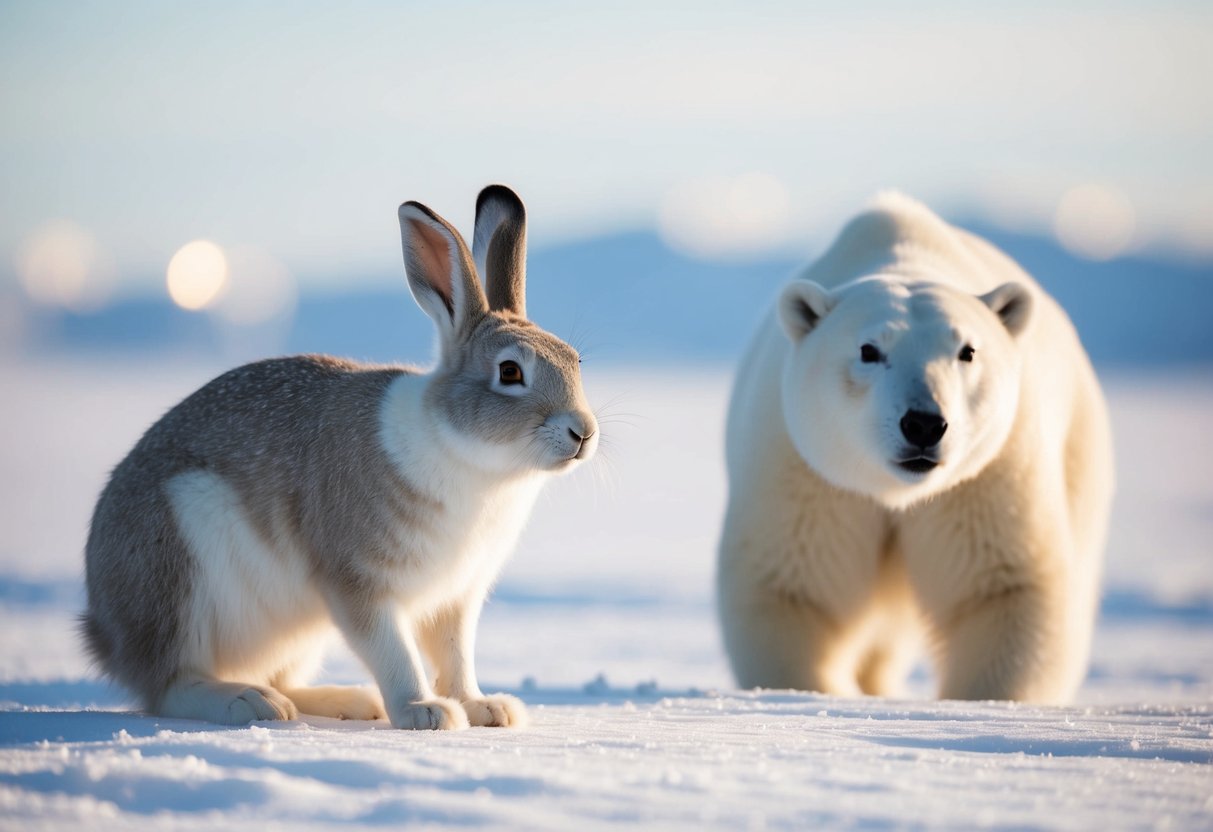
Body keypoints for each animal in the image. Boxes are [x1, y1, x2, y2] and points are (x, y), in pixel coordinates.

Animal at [81, 185, 598, 730]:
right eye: (510, 372)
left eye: (575, 360)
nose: (583, 432)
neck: (469, 457)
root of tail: (104, 633)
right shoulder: (357, 580)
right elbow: (393, 651)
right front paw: (425, 712)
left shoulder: (456, 598)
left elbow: (455, 654)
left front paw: (484, 708)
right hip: (180, 575)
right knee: (171, 685)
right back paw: (248, 702)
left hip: (298, 632)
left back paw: (345, 701)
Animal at [716, 193, 1113, 703]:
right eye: (868, 350)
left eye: (967, 351)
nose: (924, 424)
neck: (894, 492)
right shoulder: (803, 474)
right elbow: (794, 586)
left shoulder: (989, 476)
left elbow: (1002, 585)